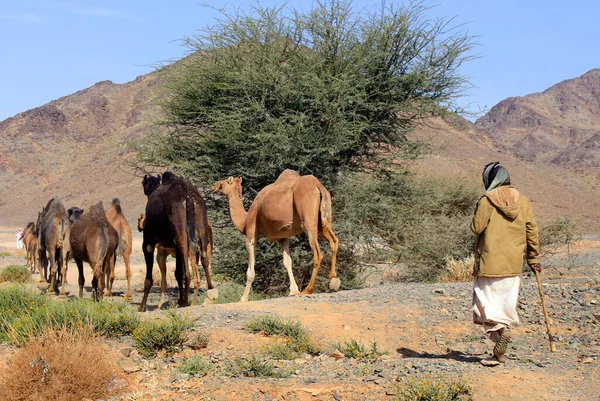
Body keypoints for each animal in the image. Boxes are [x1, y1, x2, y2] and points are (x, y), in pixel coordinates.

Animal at [140, 171, 216, 310]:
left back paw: (186, 301)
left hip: (178, 224)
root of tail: (188, 197)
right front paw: (179, 301)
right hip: (201, 221)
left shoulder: (148, 242)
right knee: (204, 258)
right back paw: (210, 292)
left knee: (187, 272)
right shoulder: (174, 247)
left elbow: (149, 278)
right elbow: (177, 272)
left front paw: (142, 306)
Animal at [213, 167, 340, 302]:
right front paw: (293, 291)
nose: (213, 186)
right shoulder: (283, 237)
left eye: (223, 183)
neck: (244, 220)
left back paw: (308, 289)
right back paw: (334, 279)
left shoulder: (250, 236)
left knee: (318, 253)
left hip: (308, 221)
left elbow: (250, 272)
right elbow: (287, 262)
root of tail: (318, 186)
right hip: (323, 222)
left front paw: (243, 298)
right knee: (334, 241)